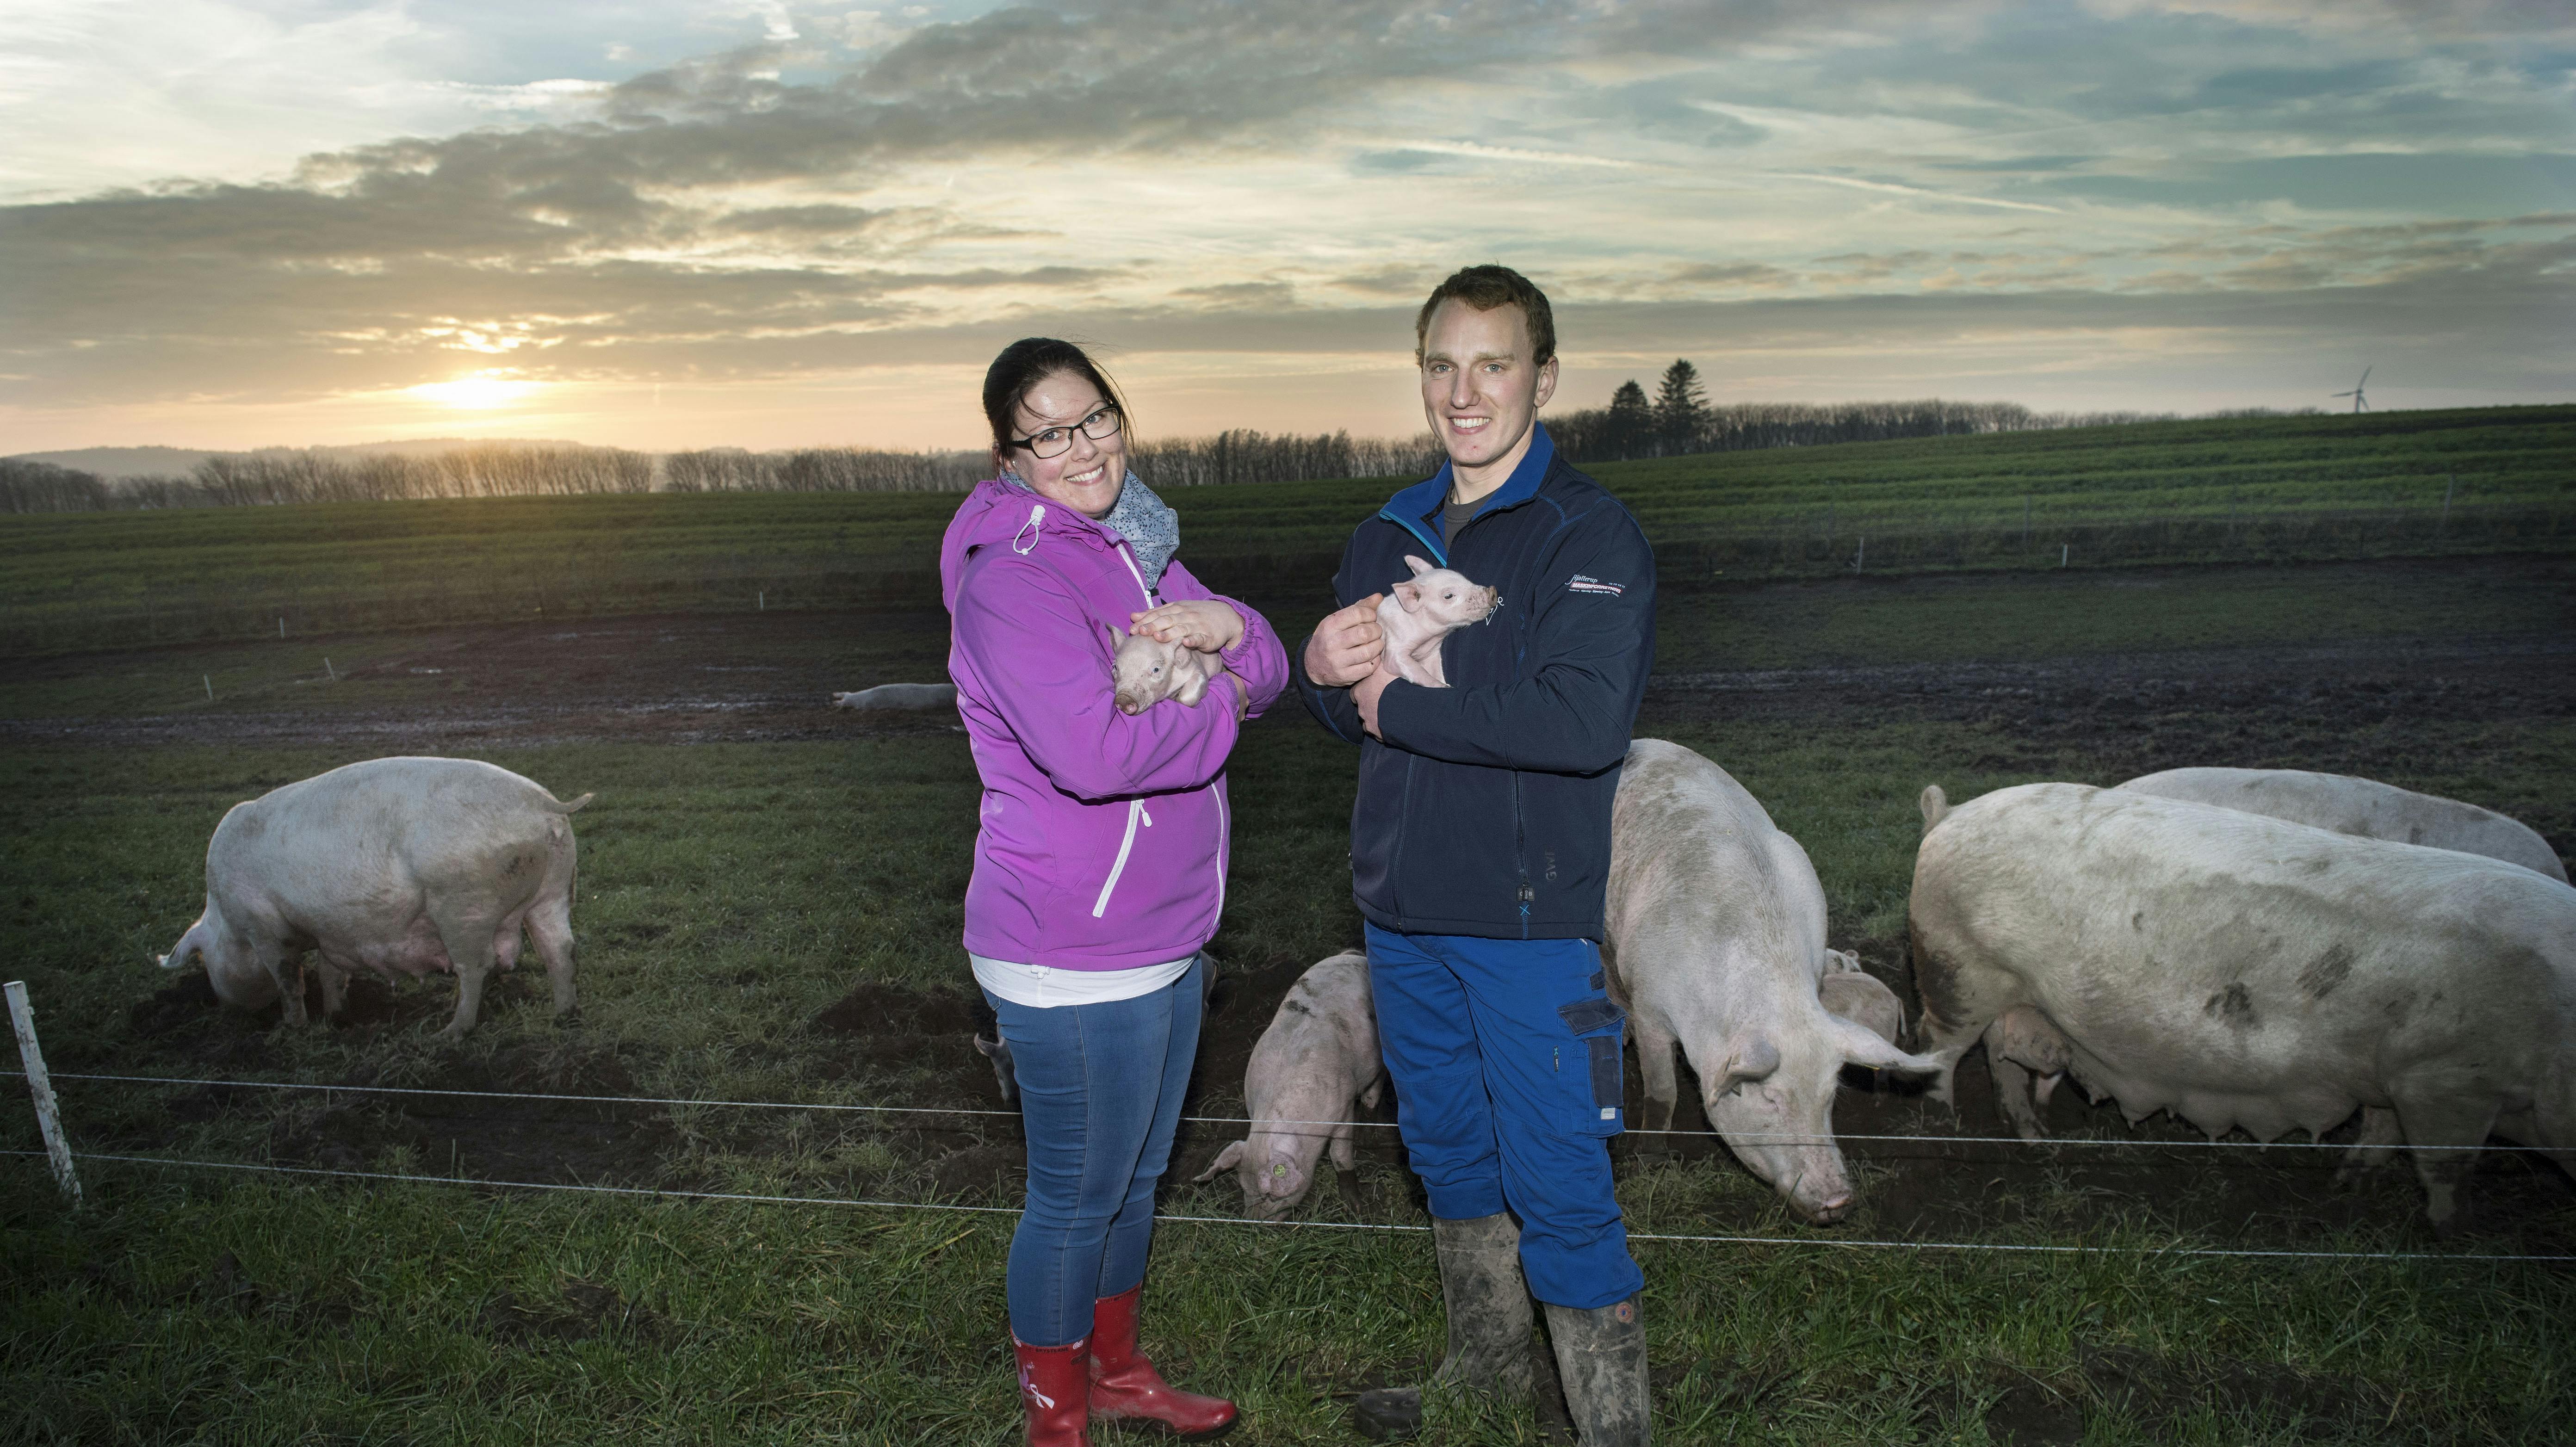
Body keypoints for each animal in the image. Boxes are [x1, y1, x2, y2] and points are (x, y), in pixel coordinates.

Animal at [155, 757, 590, 1035]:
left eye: (204, 960)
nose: (225, 1007)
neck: (226, 921)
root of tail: (544, 803)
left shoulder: (264, 928)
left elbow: (288, 980)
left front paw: (292, 1029)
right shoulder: (331, 931)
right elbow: (331, 973)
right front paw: (336, 1018)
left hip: (463, 903)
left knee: (476, 965)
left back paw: (450, 1033)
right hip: (553, 891)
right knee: (560, 950)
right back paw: (565, 1017)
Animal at [1108, 623, 1226, 711]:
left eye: (1156, 670)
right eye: (1115, 667)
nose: (1124, 698)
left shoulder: (1197, 668)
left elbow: (1191, 692)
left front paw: (1176, 698)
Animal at [1200, 952, 1391, 1210]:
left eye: (1270, 1197)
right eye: (1244, 1189)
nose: (1252, 1218)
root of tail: (1353, 955)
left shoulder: (1343, 1108)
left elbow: (1340, 1155)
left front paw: (1356, 1208)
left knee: (1378, 1082)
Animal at [1360, 551, 1504, 685]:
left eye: (1465, 580)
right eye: (1448, 596)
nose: (1492, 591)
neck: (1429, 637)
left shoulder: (1431, 652)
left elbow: (1436, 671)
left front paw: (1445, 684)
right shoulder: (1395, 643)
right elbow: (1410, 668)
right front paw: (1446, 687)